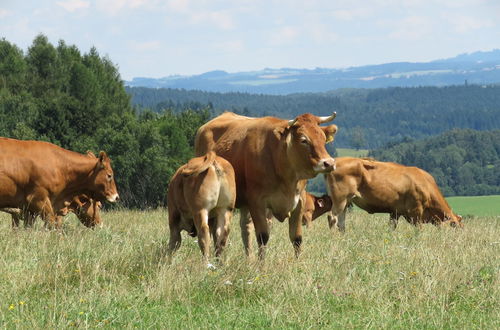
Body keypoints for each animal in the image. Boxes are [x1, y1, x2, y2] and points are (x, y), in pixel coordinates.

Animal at [193, 111, 338, 258]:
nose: (329, 163)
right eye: (304, 140)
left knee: (245, 229)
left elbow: (297, 238)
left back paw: (249, 260)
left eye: (323, 138)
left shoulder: (300, 201)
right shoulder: (257, 202)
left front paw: (298, 262)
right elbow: (263, 237)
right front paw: (261, 264)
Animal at [326, 158, 462, 232]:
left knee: (341, 222)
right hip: (340, 198)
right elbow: (419, 230)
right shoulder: (416, 211)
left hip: (346, 201)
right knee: (332, 217)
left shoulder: (395, 212)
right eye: (456, 228)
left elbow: (392, 227)